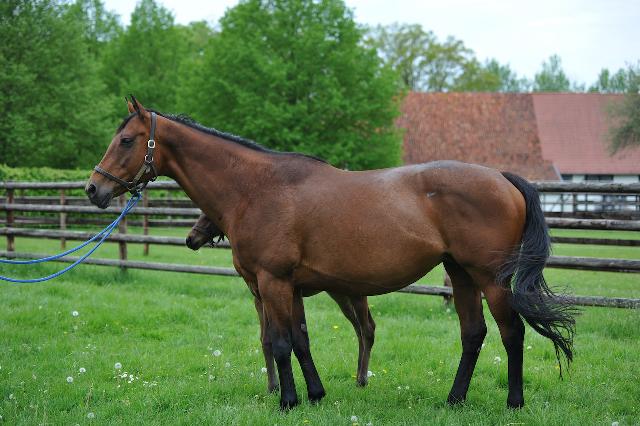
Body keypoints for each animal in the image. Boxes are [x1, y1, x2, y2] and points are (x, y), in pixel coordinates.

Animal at [186, 213, 376, 390]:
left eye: (207, 215)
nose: (190, 239)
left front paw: (275, 386)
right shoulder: (259, 300)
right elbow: (265, 340)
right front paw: (273, 386)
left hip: (355, 295)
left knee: (367, 329)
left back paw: (362, 380)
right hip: (340, 295)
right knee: (359, 329)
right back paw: (359, 376)